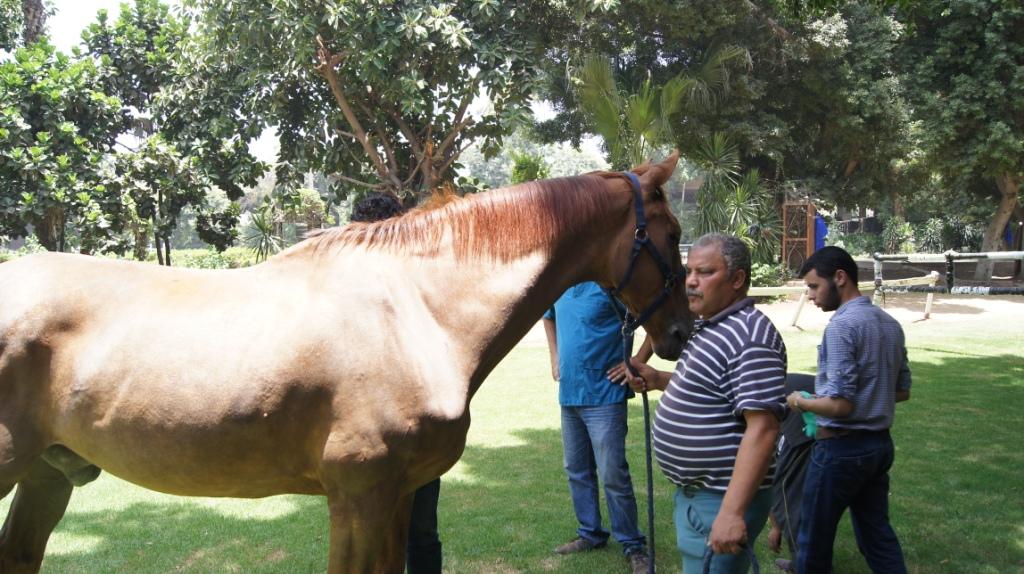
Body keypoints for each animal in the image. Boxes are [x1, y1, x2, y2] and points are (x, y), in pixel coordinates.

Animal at [0, 152, 693, 573]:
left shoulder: (395, 496)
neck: (417, 311)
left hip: (48, 475)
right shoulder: (359, 494)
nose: (681, 334)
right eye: (673, 233)